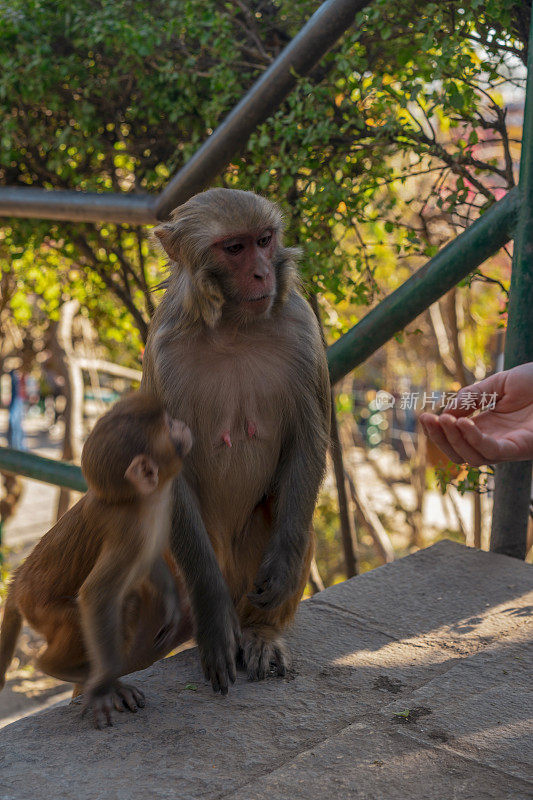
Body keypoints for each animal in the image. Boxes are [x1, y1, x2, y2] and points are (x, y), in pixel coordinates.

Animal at [0, 390, 193, 728]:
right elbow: (97, 594)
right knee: (112, 608)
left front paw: (171, 603)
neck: (139, 500)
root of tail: (19, 581)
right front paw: (102, 688)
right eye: (170, 426)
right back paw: (61, 668)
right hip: (42, 611)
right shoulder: (130, 532)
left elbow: (152, 563)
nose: (183, 424)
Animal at [143, 189, 330, 688]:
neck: (231, 326)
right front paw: (212, 616)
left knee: (292, 518)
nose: (263, 273)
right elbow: (167, 467)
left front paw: (281, 564)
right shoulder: (164, 354)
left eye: (264, 240)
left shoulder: (301, 327)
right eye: (234, 248)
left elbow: (308, 439)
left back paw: (260, 633)